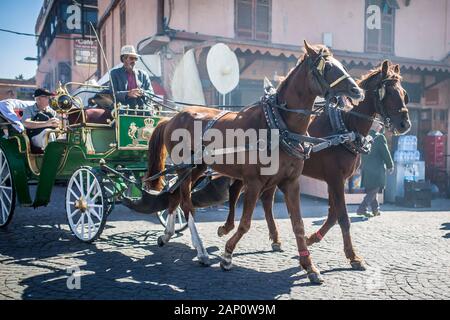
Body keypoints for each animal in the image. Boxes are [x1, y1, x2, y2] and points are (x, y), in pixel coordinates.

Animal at [146, 41, 364, 284]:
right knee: (186, 203)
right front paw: (227, 255)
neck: (278, 125)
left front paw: (309, 266)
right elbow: (246, 222)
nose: (357, 91)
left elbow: (298, 224)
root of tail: (171, 117)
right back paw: (201, 251)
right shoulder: (254, 182)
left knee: (175, 195)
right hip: (185, 166)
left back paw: (167, 235)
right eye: (328, 67)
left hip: (195, 168)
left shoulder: (291, 182)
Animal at [220, 59, 414, 270]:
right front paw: (353, 256)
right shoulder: (335, 178)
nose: (405, 124)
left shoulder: (335, 180)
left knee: (266, 200)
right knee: (236, 191)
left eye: (404, 94)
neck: (345, 126)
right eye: (390, 93)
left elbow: (333, 214)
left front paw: (311, 239)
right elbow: (343, 217)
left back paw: (275, 238)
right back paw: (226, 227)